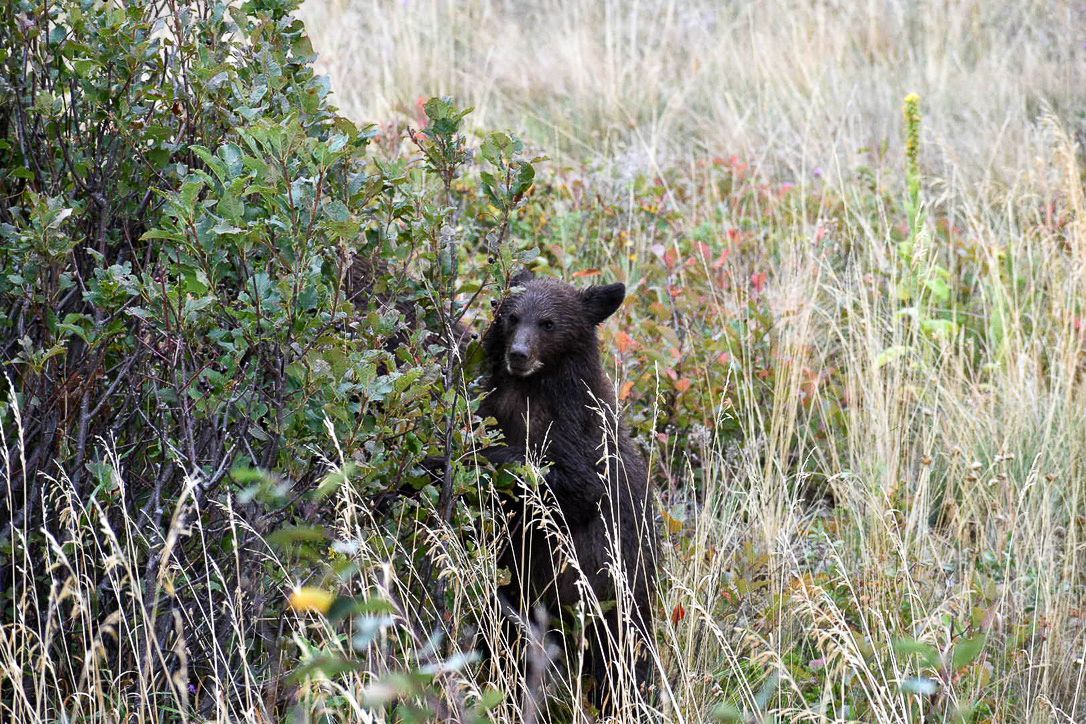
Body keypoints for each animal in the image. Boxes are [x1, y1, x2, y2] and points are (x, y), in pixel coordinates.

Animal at [478, 270, 659, 714]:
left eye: (548, 323)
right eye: (512, 316)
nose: (519, 355)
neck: (531, 390)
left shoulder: (578, 432)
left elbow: (575, 487)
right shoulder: (496, 405)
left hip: (618, 603)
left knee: (624, 664)